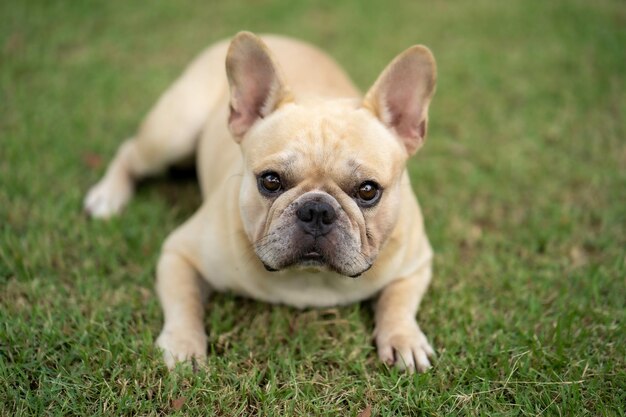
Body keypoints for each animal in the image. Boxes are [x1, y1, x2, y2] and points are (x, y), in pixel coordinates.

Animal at [85, 31, 436, 370]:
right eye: (270, 181)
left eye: (367, 190)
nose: (317, 210)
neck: (311, 279)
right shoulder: (179, 253)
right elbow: (184, 301)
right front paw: (183, 345)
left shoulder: (416, 264)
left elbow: (398, 301)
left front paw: (404, 339)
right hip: (171, 133)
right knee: (130, 151)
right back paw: (107, 195)